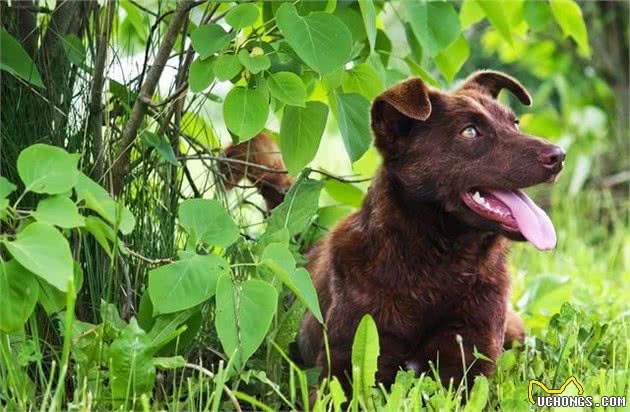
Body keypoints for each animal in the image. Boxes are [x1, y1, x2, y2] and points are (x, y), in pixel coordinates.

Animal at [223, 71, 568, 392]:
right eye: (470, 131)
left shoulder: (468, 366)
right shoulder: (343, 368)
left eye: (515, 123)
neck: (438, 270)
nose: (559, 156)